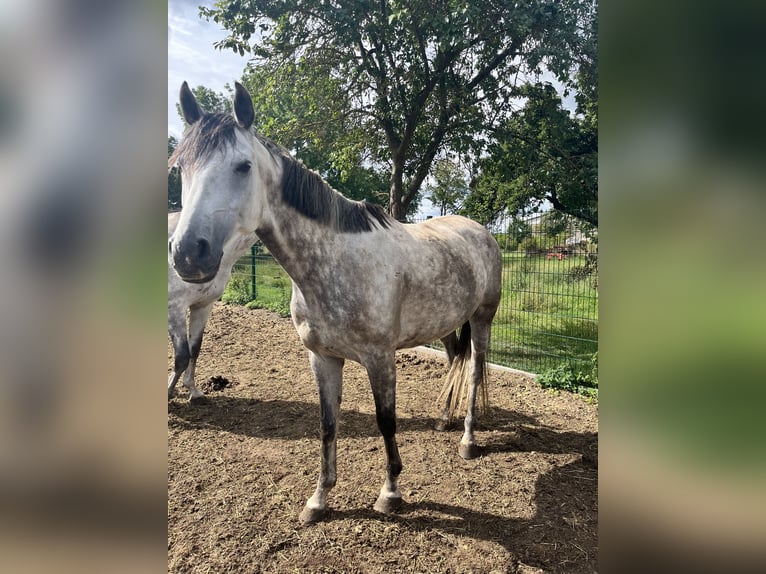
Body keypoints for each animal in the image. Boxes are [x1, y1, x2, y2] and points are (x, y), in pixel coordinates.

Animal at [167, 211, 256, 402]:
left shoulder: (203, 306)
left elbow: (194, 349)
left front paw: (193, 392)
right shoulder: (175, 308)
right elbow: (182, 356)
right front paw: (168, 391)